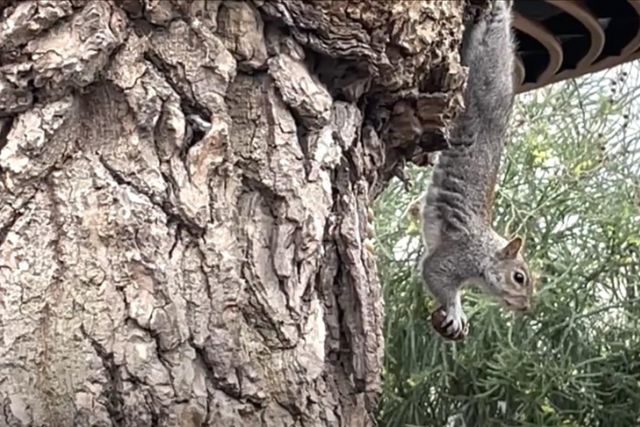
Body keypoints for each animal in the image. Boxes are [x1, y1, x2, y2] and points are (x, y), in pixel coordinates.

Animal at [418, 0, 532, 342]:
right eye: (519, 277)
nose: (526, 308)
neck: (486, 249)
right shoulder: (458, 255)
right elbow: (435, 274)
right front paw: (456, 312)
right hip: (480, 69)